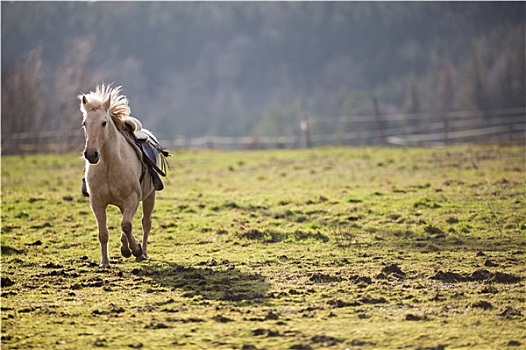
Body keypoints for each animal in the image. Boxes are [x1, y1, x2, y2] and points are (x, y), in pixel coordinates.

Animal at [80, 85, 169, 268]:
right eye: (85, 123)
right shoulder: (97, 202)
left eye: (104, 122)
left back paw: (142, 252)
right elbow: (103, 233)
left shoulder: (132, 198)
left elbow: (126, 225)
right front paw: (104, 263)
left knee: (145, 223)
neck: (109, 165)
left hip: (149, 197)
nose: (91, 154)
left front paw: (136, 249)